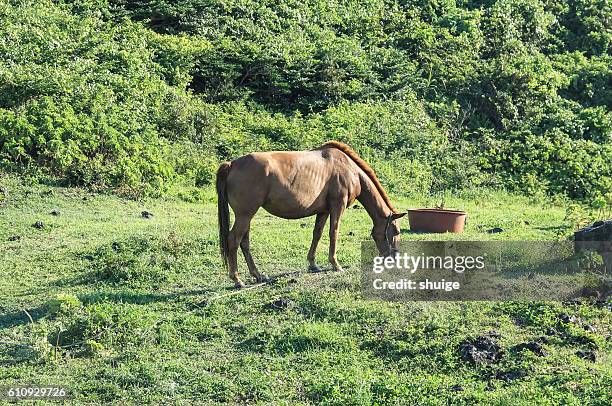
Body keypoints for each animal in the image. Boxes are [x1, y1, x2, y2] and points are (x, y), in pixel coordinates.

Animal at [216, 141, 406, 288]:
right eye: (396, 232)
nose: (394, 258)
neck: (349, 169)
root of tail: (231, 164)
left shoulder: (323, 211)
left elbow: (317, 234)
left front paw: (313, 264)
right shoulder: (338, 206)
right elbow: (333, 233)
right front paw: (335, 264)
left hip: (247, 216)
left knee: (244, 242)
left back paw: (258, 275)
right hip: (245, 215)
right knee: (234, 240)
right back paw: (237, 279)